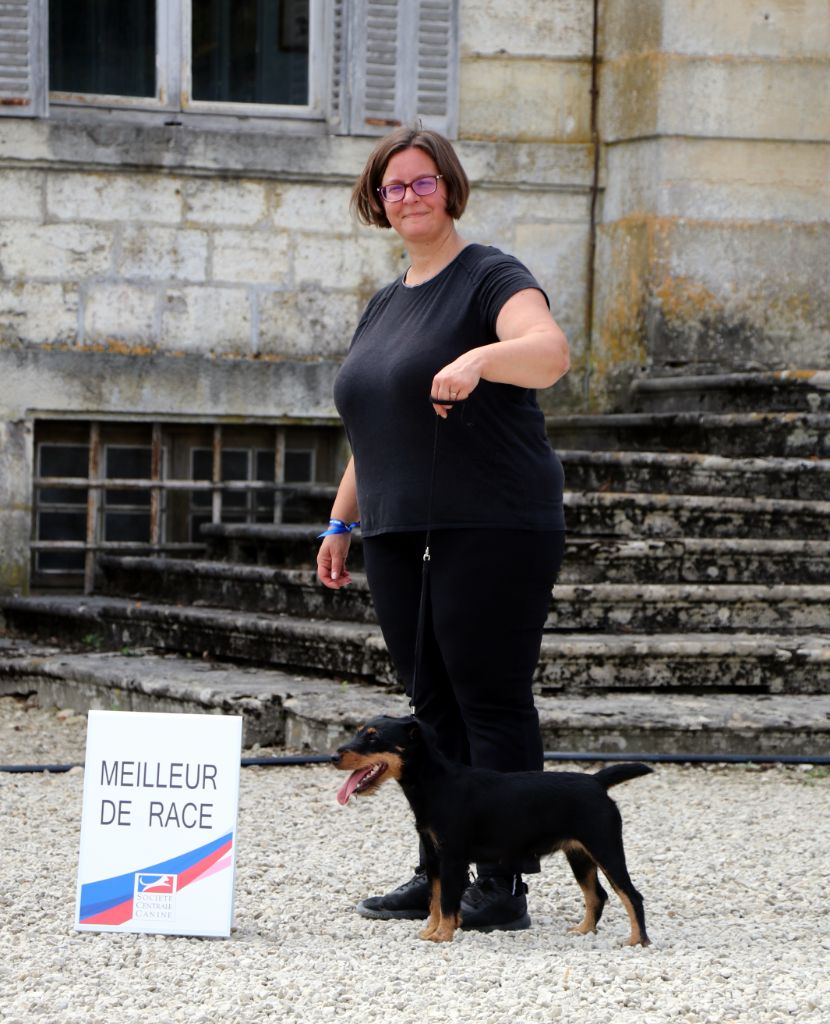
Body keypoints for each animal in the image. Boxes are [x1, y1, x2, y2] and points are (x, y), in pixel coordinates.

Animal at [333, 712, 650, 942]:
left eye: (374, 738)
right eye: (359, 732)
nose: (334, 756)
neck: (435, 783)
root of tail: (596, 781)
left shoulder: (452, 858)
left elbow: (446, 901)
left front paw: (442, 935)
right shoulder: (434, 858)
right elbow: (434, 900)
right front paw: (430, 931)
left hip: (606, 848)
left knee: (631, 895)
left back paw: (637, 941)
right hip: (580, 855)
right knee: (597, 895)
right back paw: (584, 930)